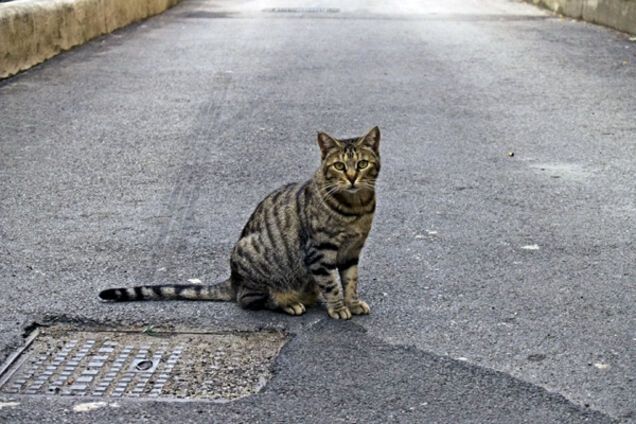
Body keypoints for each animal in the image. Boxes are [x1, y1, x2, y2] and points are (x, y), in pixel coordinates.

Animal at [97, 127, 380, 320]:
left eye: (362, 164)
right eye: (339, 166)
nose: (352, 177)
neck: (356, 208)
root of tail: (233, 279)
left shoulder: (352, 251)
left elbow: (350, 281)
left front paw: (352, 302)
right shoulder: (319, 252)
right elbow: (331, 284)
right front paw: (338, 307)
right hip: (252, 255)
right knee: (250, 299)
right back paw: (287, 302)